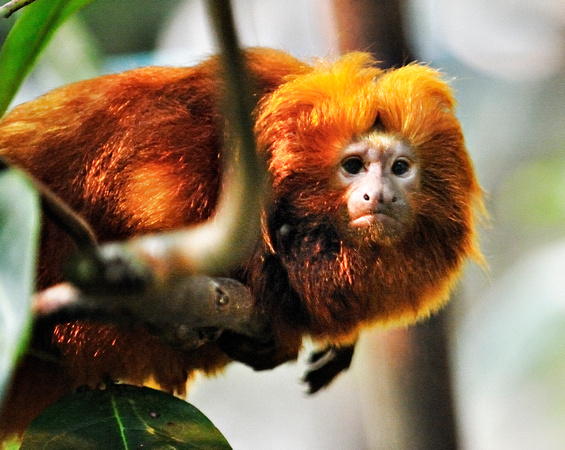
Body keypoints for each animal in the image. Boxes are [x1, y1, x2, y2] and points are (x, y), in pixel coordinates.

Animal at [0, 48, 482, 436]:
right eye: (353, 166)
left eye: (400, 167)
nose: (378, 195)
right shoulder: (182, 141)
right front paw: (273, 277)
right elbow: (147, 208)